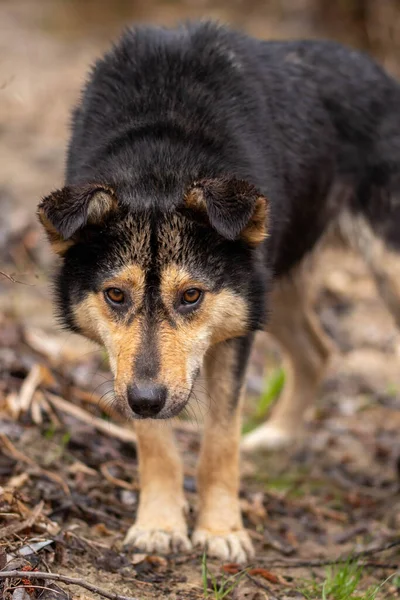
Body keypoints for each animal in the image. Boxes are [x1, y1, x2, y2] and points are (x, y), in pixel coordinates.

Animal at [37, 19, 400, 564]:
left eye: (191, 296)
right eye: (115, 296)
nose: (146, 399)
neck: (160, 159)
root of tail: (377, 72)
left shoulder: (230, 335)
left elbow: (219, 443)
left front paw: (222, 531)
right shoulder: (131, 365)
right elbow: (156, 443)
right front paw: (159, 523)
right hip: (270, 285)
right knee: (318, 351)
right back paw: (278, 435)